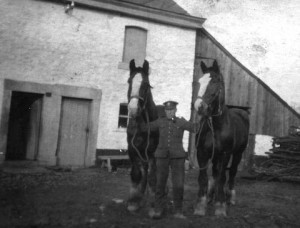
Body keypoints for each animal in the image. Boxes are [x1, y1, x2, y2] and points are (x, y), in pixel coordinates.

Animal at [193, 60, 250, 216]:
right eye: (199, 82)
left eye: (215, 82)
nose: (199, 106)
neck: (216, 126)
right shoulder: (202, 153)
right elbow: (203, 177)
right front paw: (201, 205)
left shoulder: (225, 154)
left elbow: (222, 178)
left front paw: (220, 206)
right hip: (215, 156)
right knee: (215, 172)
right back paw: (210, 197)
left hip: (237, 154)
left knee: (231, 173)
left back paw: (230, 198)